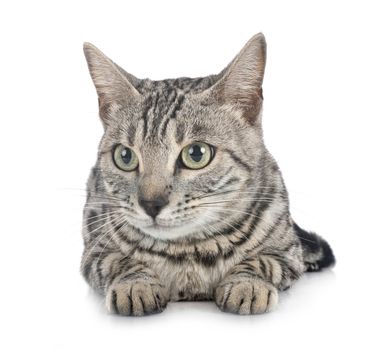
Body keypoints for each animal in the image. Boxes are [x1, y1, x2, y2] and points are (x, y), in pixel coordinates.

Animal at [80, 32, 334, 316]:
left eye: (196, 154)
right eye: (125, 156)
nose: (151, 203)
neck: (189, 252)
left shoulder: (287, 253)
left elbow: (264, 261)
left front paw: (247, 283)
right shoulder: (93, 250)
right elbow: (118, 260)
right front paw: (135, 284)